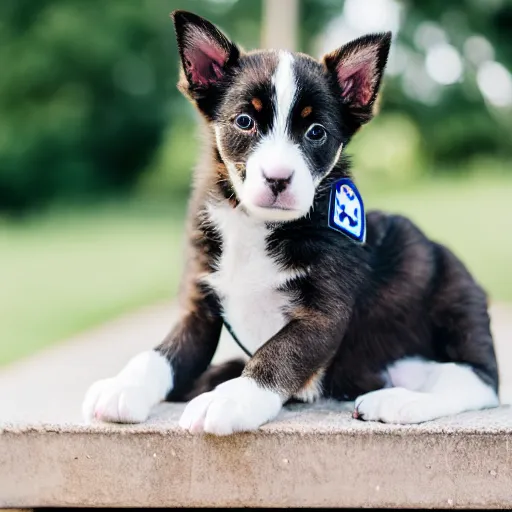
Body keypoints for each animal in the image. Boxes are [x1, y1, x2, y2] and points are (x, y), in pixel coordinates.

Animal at [82, 10, 498, 434]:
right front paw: (124, 386)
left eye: (316, 132)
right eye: (244, 121)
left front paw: (230, 399)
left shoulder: (321, 315)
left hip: (457, 306)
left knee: (473, 383)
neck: (255, 225)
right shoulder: (199, 305)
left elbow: (275, 356)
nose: (278, 179)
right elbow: (159, 354)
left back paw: (398, 401)